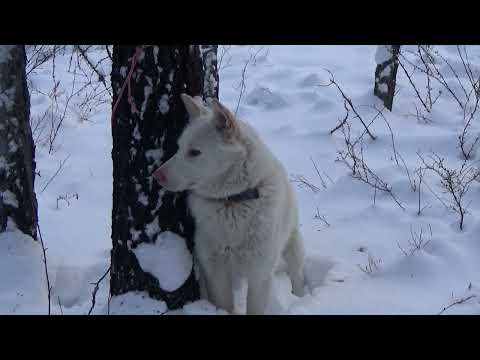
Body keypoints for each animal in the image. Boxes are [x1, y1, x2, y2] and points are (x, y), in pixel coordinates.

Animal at [154, 94, 304, 314]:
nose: (156, 175)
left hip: (293, 246)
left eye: (195, 152)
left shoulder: (259, 275)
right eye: (180, 148)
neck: (231, 203)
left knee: (297, 275)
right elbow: (223, 305)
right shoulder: (215, 272)